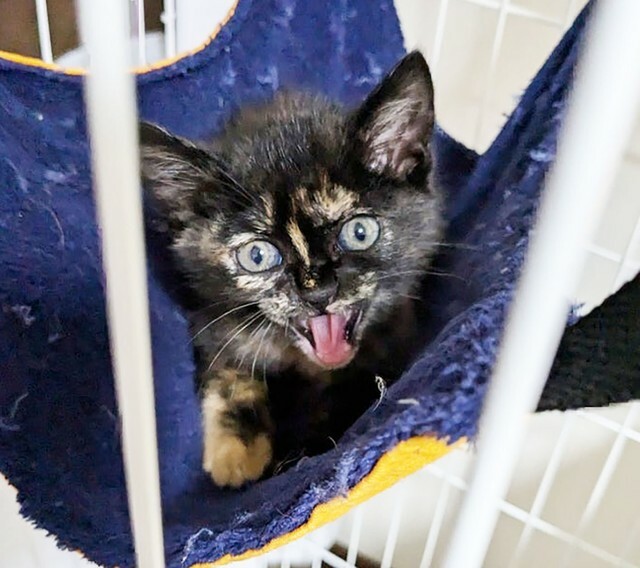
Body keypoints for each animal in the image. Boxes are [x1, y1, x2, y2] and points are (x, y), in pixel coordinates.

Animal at [140, 50, 442, 488]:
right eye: (258, 256)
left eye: (359, 232)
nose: (317, 292)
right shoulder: (212, 321)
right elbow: (229, 373)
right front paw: (236, 452)